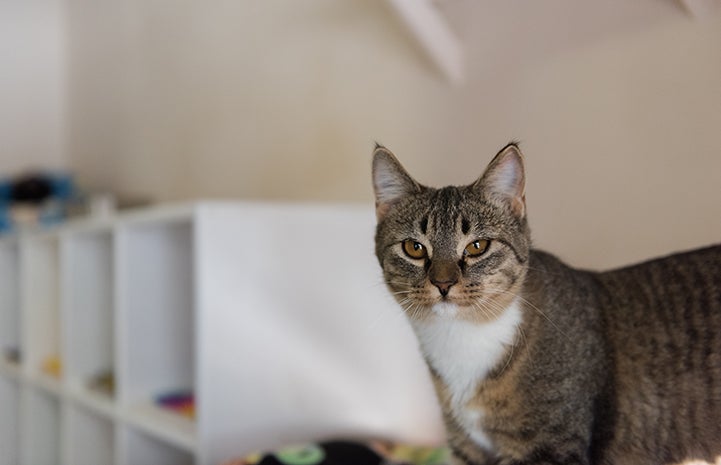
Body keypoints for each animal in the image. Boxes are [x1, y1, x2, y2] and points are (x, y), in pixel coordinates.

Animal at [374, 142, 720, 464]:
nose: (443, 283)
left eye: (477, 246)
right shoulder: (466, 449)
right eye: (414, 248)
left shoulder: (550, 446)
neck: (461, 340)